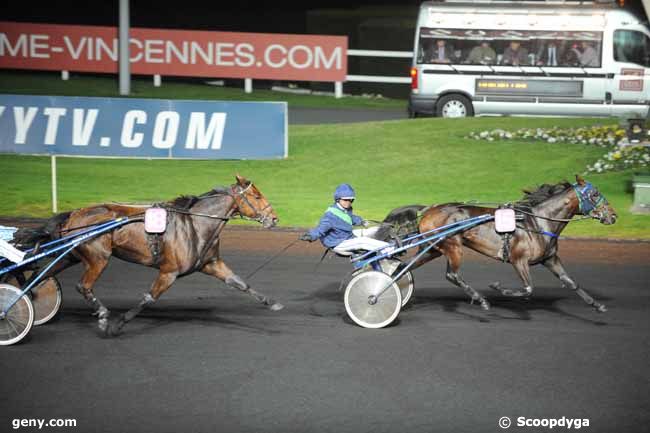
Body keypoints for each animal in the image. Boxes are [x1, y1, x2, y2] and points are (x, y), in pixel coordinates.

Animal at [14, 174, 280, 336]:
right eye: (257, 196)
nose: (275, 218)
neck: (195, 224)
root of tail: (74, 214)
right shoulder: (169, 272)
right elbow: (149, 297)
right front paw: (118, 323)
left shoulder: (211, 263)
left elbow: (240, 283)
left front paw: (272, 303)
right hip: (98, 257)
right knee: (83, 286)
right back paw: (102, 315)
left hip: (72, 255)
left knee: (38, 277)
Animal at [378, 175, 616, 310]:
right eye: (595, 194)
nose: (613, 216)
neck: (538, 222)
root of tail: (430, 209)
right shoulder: (518, 259)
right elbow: (528, 288)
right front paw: (498, 288)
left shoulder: (550, 259)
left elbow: (571, 282)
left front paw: (597, 305)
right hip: (453, 246)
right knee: (452, 275)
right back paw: (481, 300)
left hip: (434, 248)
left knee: (402, 267)